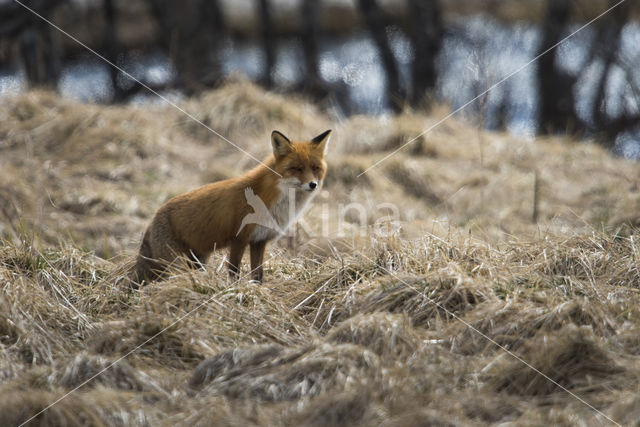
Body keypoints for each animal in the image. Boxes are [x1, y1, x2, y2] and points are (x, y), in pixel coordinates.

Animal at [128, 130, 332, 288]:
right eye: (297, 168)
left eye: (315, 168)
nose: (312, 184)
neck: (272, 199)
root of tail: (152, 218)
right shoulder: (239, 238)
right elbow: (234, 271)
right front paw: (234, 289)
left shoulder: (259, 240)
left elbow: (258, 275)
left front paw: (258, 291)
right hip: (174, 263)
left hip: (199, 259)